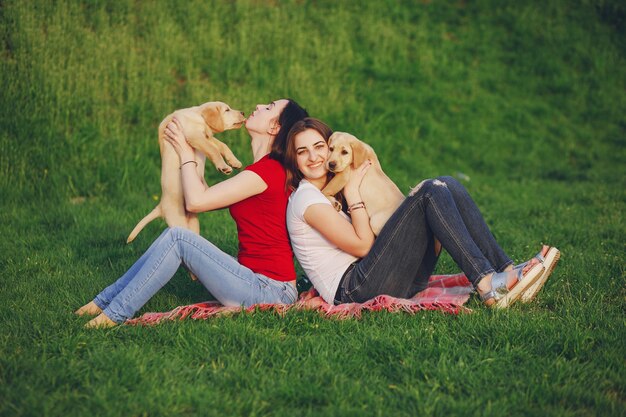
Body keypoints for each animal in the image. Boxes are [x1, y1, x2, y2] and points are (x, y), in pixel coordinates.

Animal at [125, 101, 245, 242]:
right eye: (227, 110)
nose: (243, 112)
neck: (198, 117)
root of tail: (160, 206)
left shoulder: (207, 137)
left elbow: (222, 146)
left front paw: (235, 162)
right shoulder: (195, 136)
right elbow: (213, 150)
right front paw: (223, 166)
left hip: (193, 223)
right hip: (178, 220)